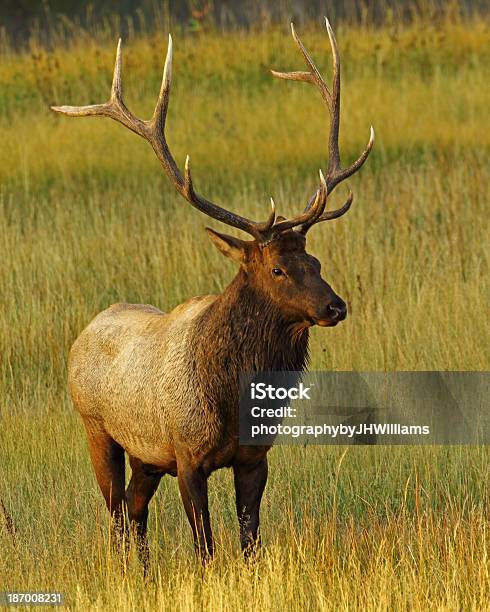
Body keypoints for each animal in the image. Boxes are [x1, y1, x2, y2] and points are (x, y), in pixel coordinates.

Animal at [51, 19, 374, 564]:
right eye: (276, 269)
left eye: (315, 261)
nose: (336, 306)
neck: (231, 396)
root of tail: (85, 333)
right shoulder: (187, 456)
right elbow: (205, 544)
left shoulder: (254, 457)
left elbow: (249, 539)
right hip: (97, 429)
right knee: (116, 515)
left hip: (146, 456)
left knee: (135, 511)